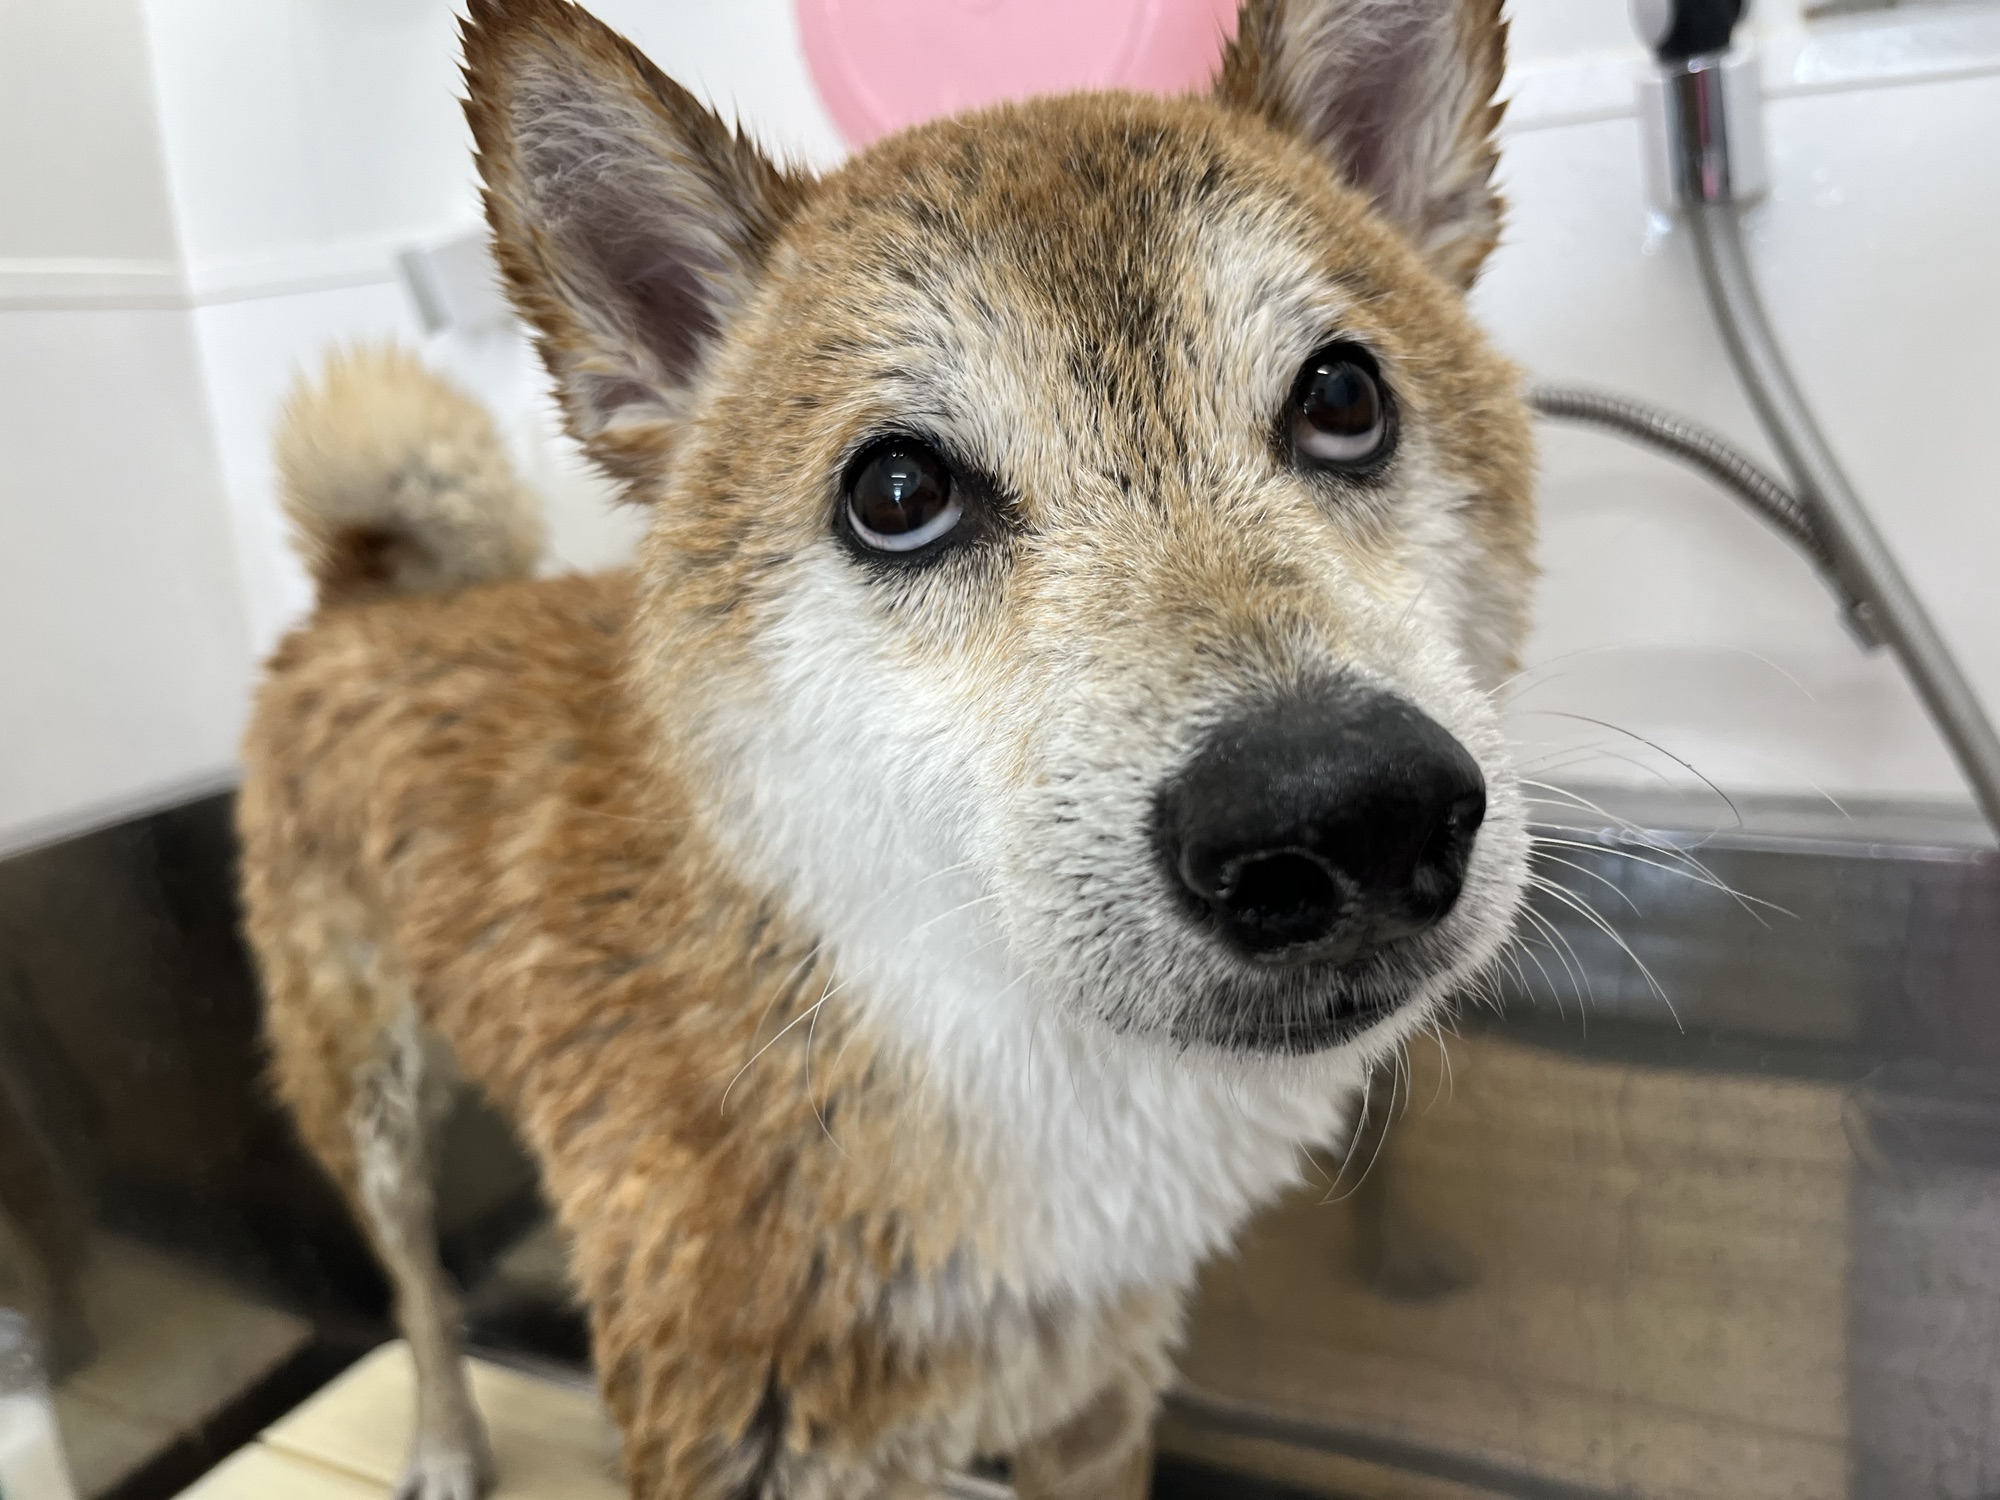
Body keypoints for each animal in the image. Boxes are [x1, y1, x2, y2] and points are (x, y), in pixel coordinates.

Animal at [235, 0, 1537, 1495]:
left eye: (1340, 398)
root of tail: (364, 596)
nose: (1344, 810)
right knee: (417, 1291)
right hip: (366, 1105)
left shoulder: (1095, 1400)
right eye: (898, 493)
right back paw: (446, 1437)